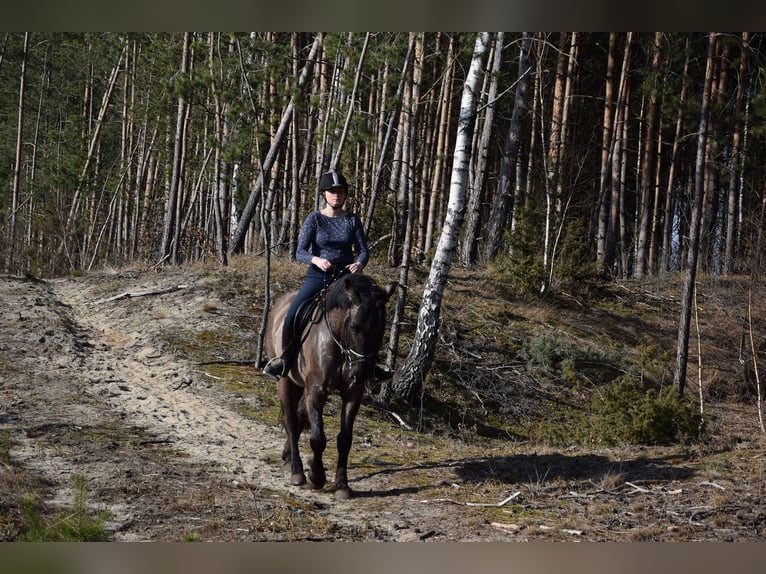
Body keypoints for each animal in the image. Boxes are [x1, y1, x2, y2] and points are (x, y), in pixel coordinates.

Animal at [265, 273, 397, 501]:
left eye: (381, 329)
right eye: (353, 326)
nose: (361, 373)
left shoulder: (353, 393)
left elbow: (345, 439)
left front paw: (342, 485)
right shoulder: (316, 391)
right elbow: (317, 438)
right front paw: (316, 477)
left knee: (299, 416)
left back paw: (289, 458)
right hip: (285, 381)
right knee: (290, 420)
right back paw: (297, 471)